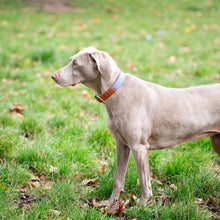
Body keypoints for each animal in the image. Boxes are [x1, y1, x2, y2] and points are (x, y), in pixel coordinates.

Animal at [52, 46, 220, 206]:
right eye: (71, 60)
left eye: (75, 64)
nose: (53, 76)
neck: (114, 91)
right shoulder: (122, 145)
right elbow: (118, 179)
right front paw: (109, 203)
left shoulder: (139, 147)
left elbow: (144, 182)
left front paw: (141, 206)